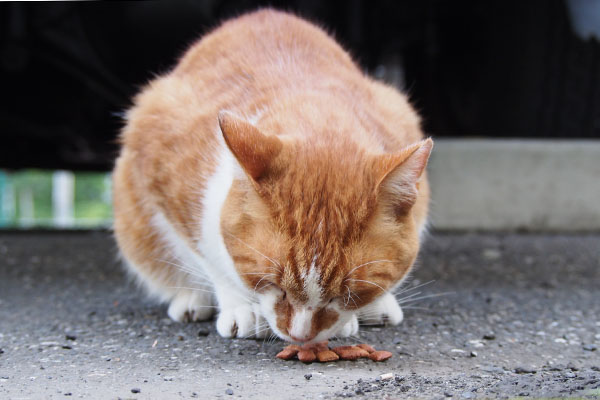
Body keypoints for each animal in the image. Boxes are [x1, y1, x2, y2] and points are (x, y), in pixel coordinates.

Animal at [112, 7, 432, 342]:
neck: (311, 112)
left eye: (347, 295)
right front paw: (241, 306)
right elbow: (210, 259)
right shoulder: (163, 172)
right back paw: (191, 299)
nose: (301, 336)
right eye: (275, 285)